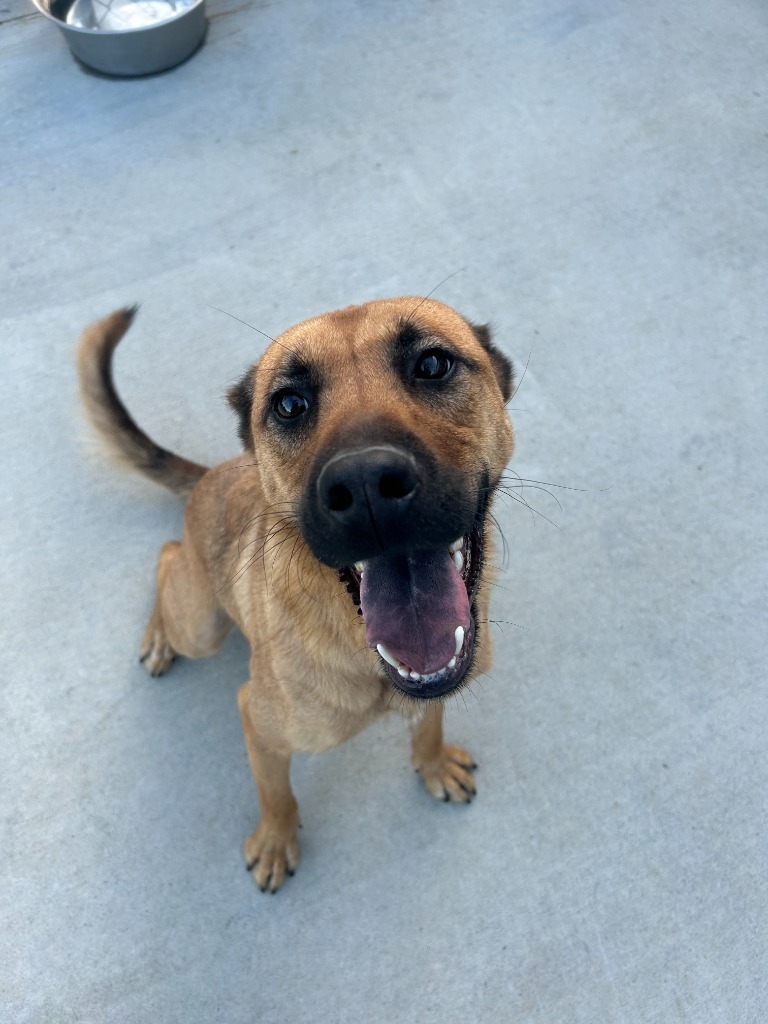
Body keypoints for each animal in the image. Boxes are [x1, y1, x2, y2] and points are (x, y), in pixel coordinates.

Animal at [76, 296, 518, 888]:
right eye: (289, 404)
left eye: (432, 364)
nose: (365, 485)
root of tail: (212, 474)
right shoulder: (258, 721)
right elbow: (276, 793)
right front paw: (275, 840)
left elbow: (430, 721)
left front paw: (433, 762)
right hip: (202, 625)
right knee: (167, 556)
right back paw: (160, 638)